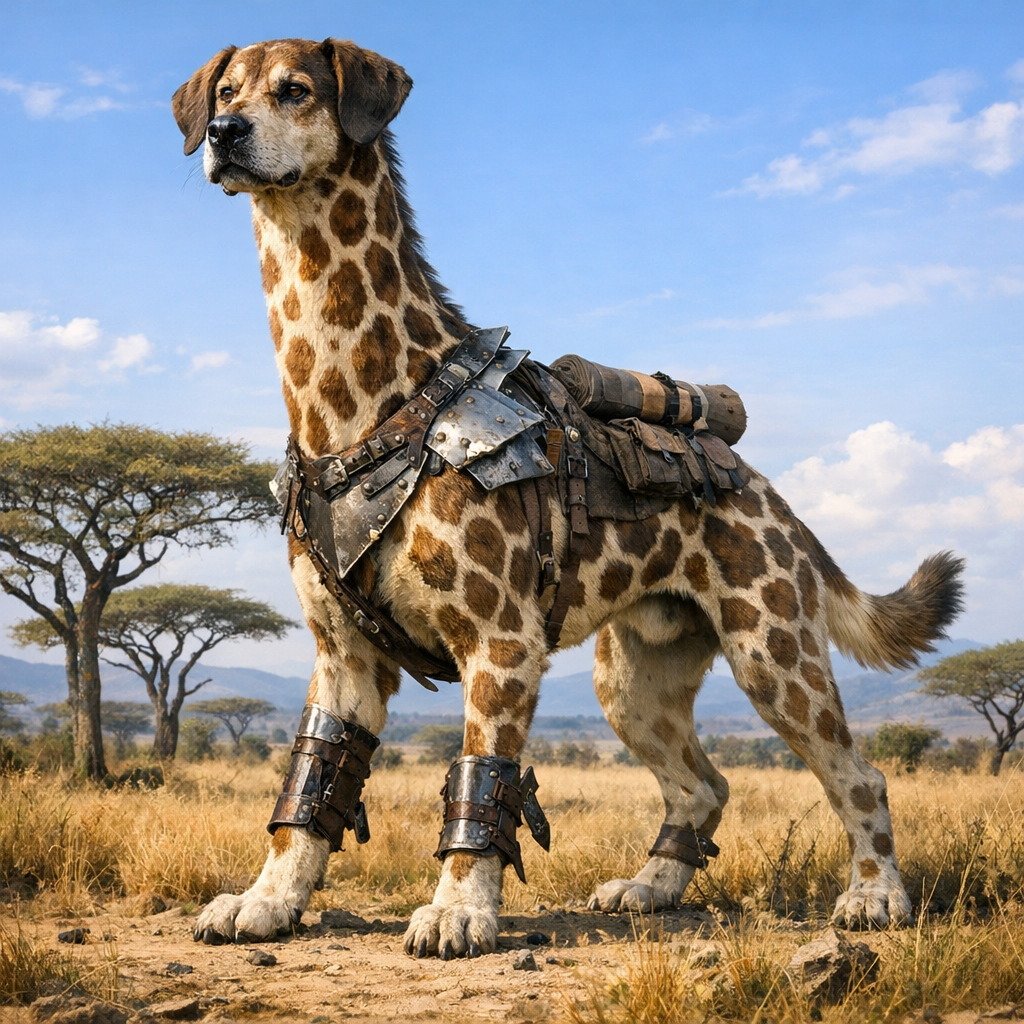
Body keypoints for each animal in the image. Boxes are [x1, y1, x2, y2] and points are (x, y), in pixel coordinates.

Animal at [174, 38, 964, 958]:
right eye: (226, 91)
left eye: (295, 90)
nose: (224, 136)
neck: (355, 412)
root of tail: (767, 489)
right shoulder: (344, 653)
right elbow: (310, 787)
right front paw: (268, 899)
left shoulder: (500, 639)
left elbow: (482, 783)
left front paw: (459, 910)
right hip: (634, 681)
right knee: (703, 785)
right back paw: (652, 886)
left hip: (774, 652)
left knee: (858, 774)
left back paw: (876, 896)